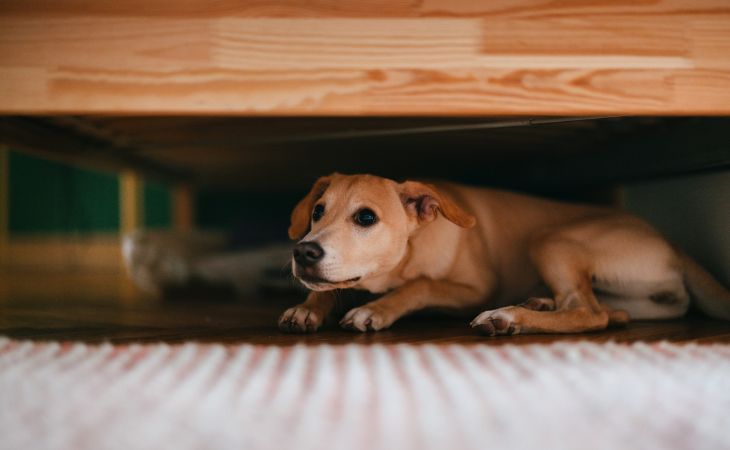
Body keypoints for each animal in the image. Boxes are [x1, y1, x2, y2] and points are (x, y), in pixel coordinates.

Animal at [274, 174, 728, 336]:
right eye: (317, 212)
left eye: (366, 217)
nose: (303, 251)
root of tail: (673, 245)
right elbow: (331, 288)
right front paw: (308, 308)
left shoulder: (473, 289)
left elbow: (421, 286)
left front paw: (376, 310)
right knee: (608, 311)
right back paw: (537, 303)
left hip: (551, 239)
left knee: (589, 313)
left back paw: (508, 317)